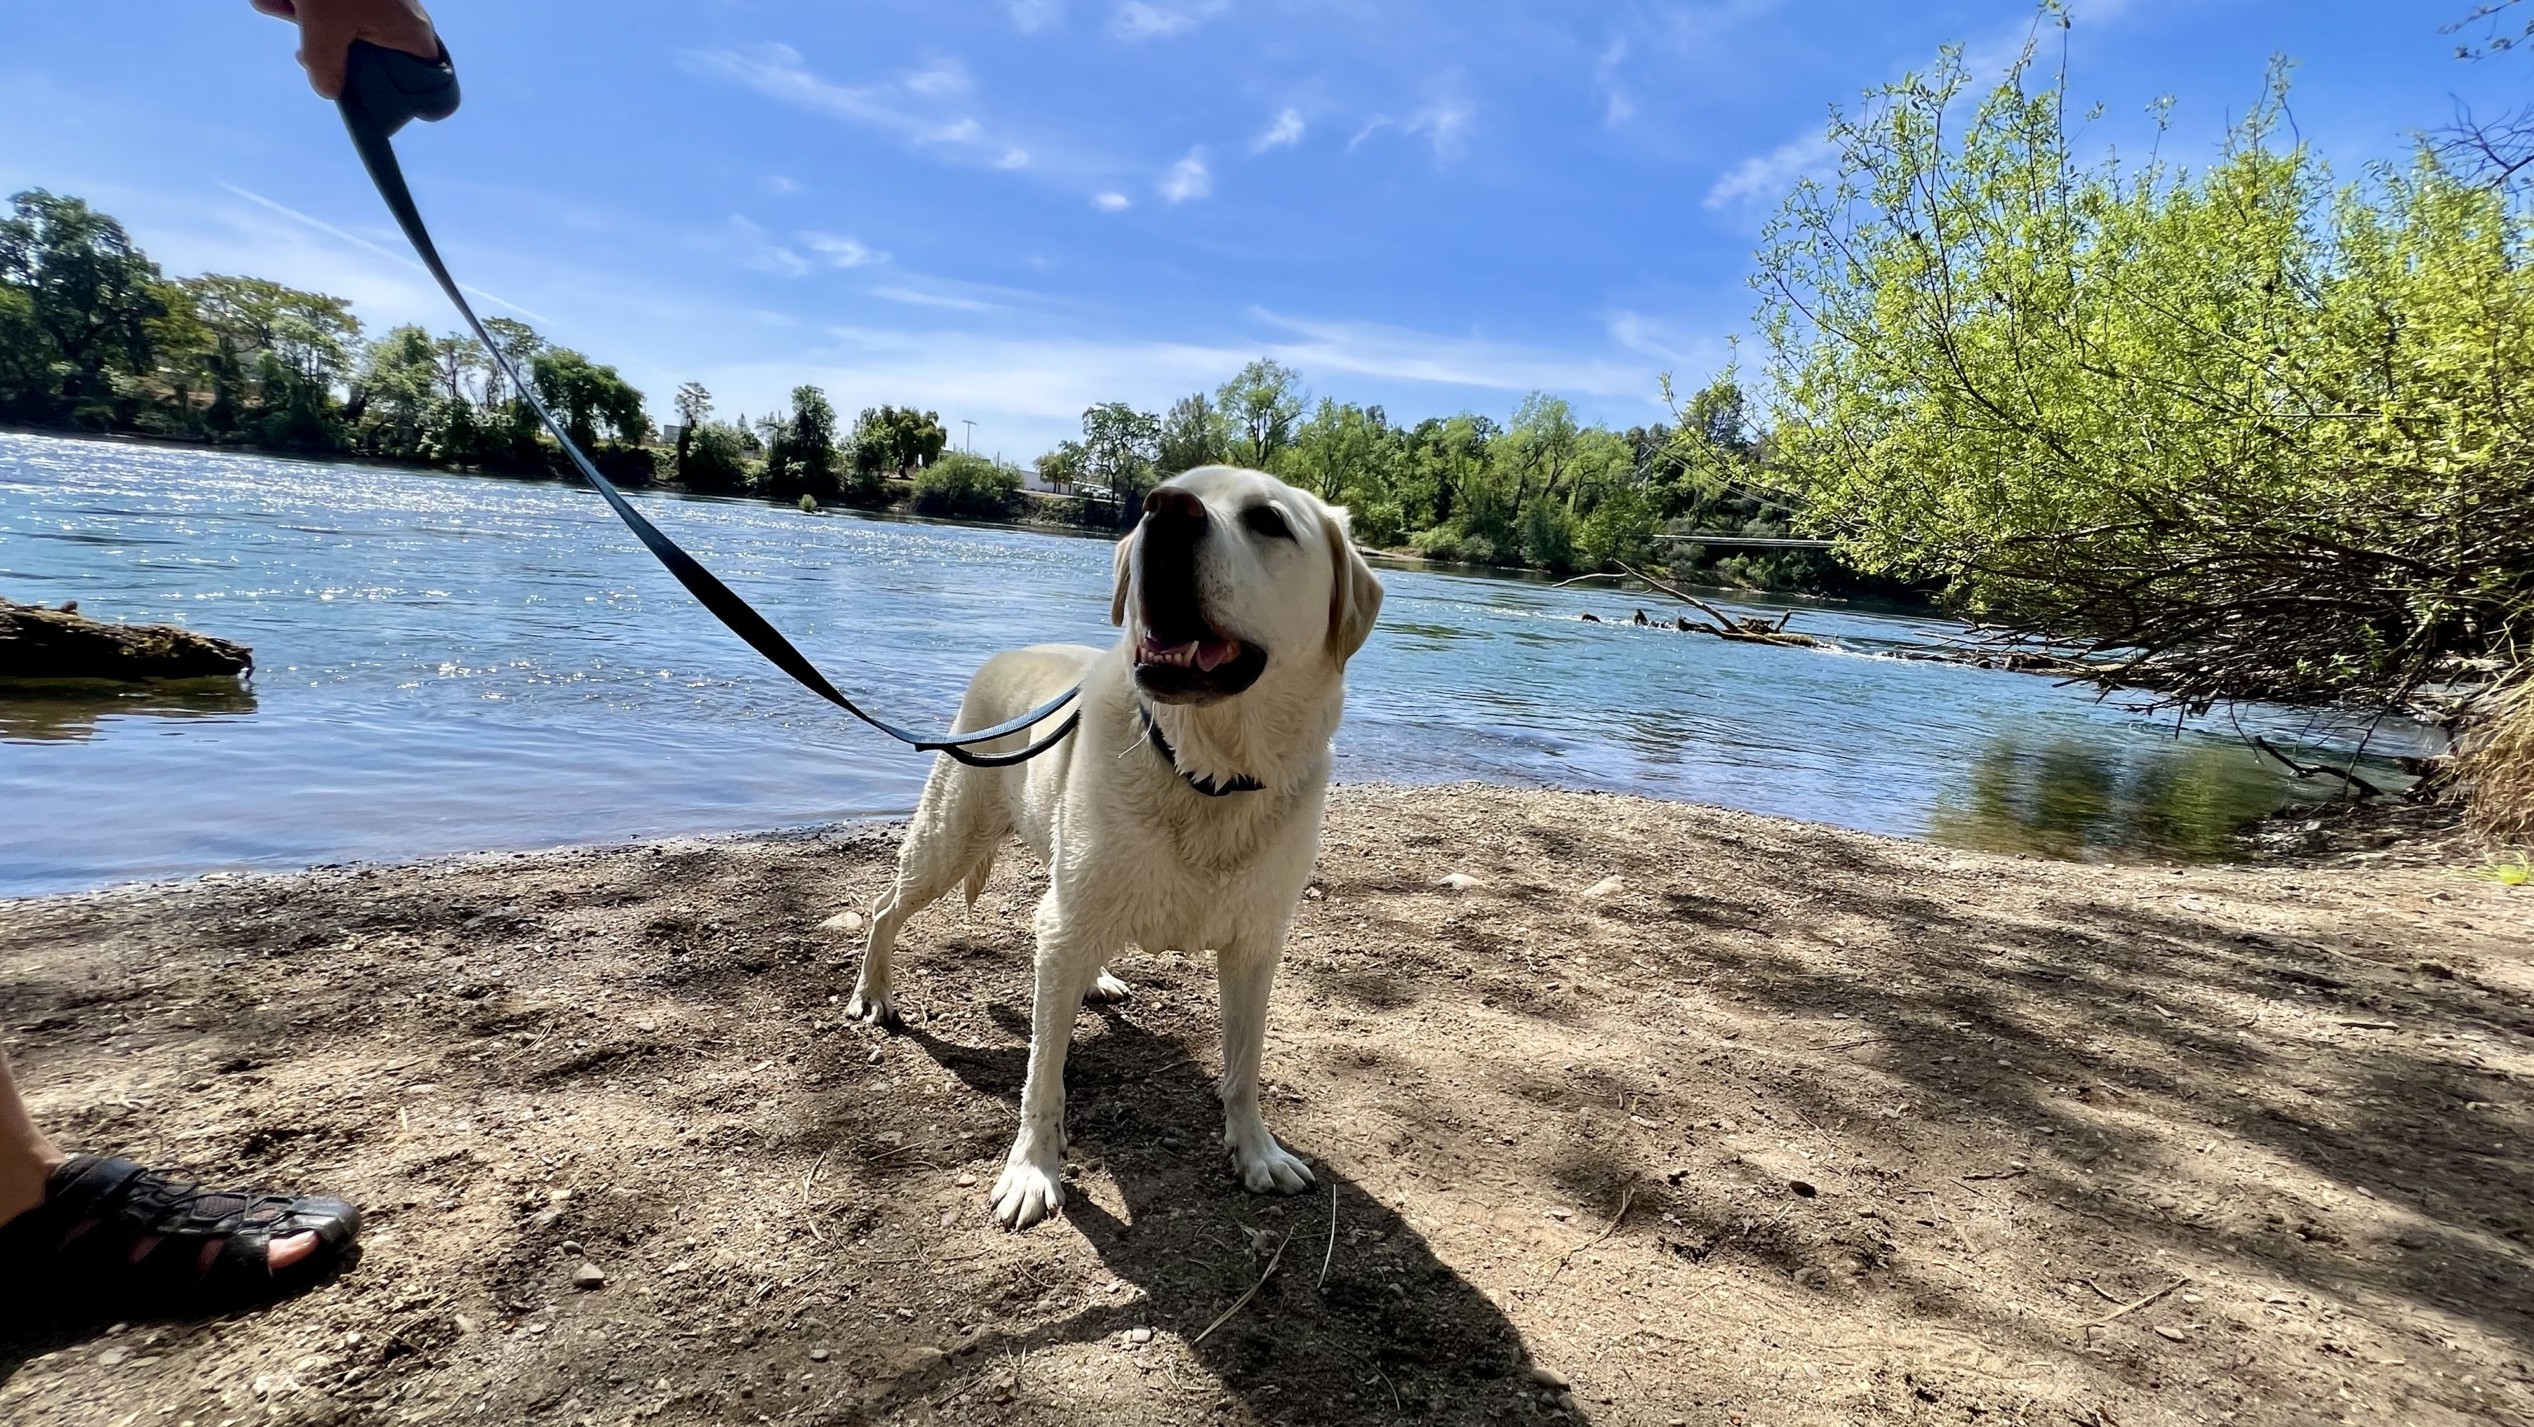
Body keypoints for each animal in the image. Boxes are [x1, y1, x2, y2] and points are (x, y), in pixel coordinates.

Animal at [841, 466, 1378, 1226]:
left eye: (1269, 520)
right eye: (1173, 491)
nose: (1165, 508)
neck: (1206, 773)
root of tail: (1005, 654)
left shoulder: (1256, 944)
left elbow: (1244, 1066)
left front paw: (1256, 1151)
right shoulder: (1067, 924)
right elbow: (1043, 1078)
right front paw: (1033, 1169)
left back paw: (1093, 977)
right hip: (950, 837)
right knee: (888, 907)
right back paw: (874, 992)